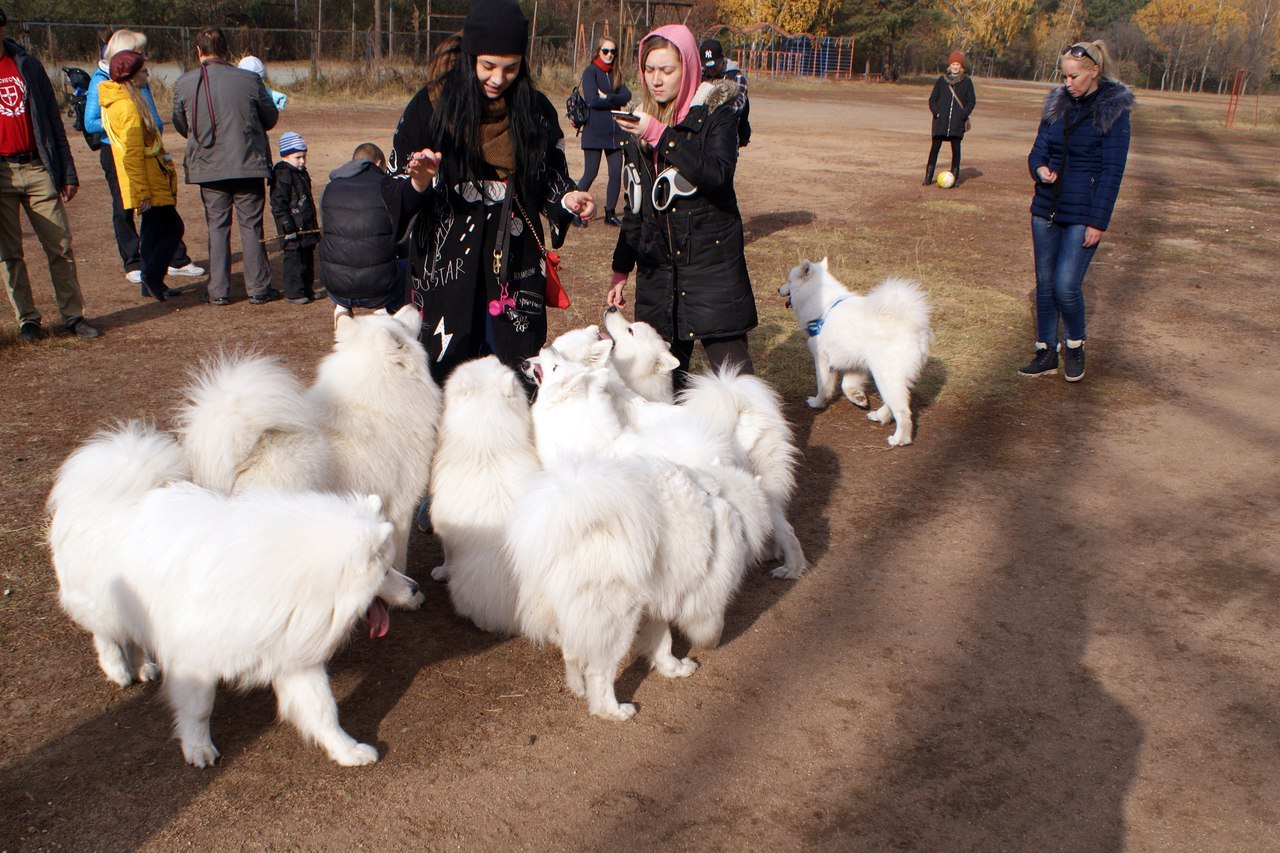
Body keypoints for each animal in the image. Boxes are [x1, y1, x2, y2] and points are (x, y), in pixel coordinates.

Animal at [48, 422, 424, 768]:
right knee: (105, 634)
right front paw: (198, 748)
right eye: (385, 571)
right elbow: (199, 709)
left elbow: (323, 710)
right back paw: (118, 668)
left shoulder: (292, 656)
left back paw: (143, 665)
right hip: (103, 604)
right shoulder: (195, 661)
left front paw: (347, 751)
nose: (416, 589)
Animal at [430, 353, 540, 630]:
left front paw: (441, 572)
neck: (487, 446)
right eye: (495, 363)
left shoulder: (446, 531)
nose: (492, 353)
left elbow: (447, 555)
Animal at [773, 257, 936, 445]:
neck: (821, 304)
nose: (778, 288)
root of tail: (914, 325)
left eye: (789, 281)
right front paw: (858, 398)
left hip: (886, 375)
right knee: (896, 401)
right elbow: (847, 385)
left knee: (902, 410)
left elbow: (823, 386)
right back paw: (879, 415)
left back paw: (899, 439)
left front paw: (817, 403)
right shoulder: (854, 362)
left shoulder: (822, 359)